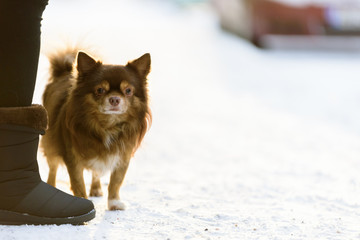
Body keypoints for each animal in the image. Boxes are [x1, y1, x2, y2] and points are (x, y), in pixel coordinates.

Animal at [41, 49, 151, 210]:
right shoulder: (73, 158)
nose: (115, 99)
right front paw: (82, 200)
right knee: (53, 168)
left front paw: (114, 202)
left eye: (128, 90)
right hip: (51, 143)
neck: (107, 125)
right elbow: (78, 183)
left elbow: (116, 182)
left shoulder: (122, 156)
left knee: (96, 172)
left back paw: (96, 188)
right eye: (100, 90)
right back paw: (51, 185)